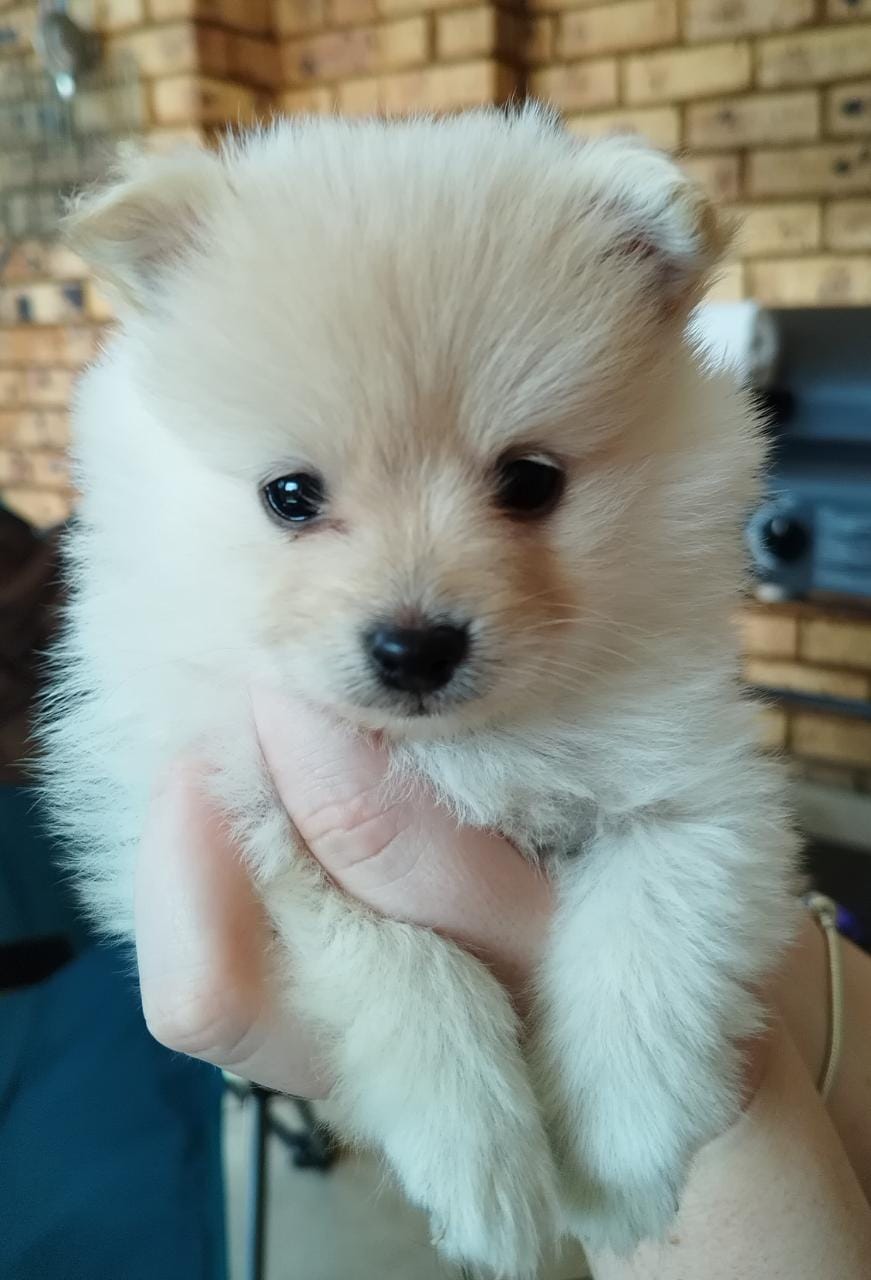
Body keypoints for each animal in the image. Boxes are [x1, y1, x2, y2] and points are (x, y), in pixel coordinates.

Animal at [44, 104, 799, 1274]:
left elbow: (649, 936)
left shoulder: (694, 789)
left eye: (530, 482)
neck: (457, 745)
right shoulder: (245, 818)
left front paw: (620, 1164)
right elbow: (402, 961)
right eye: (289, 495)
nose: (414, 646)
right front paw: (484, 1165)